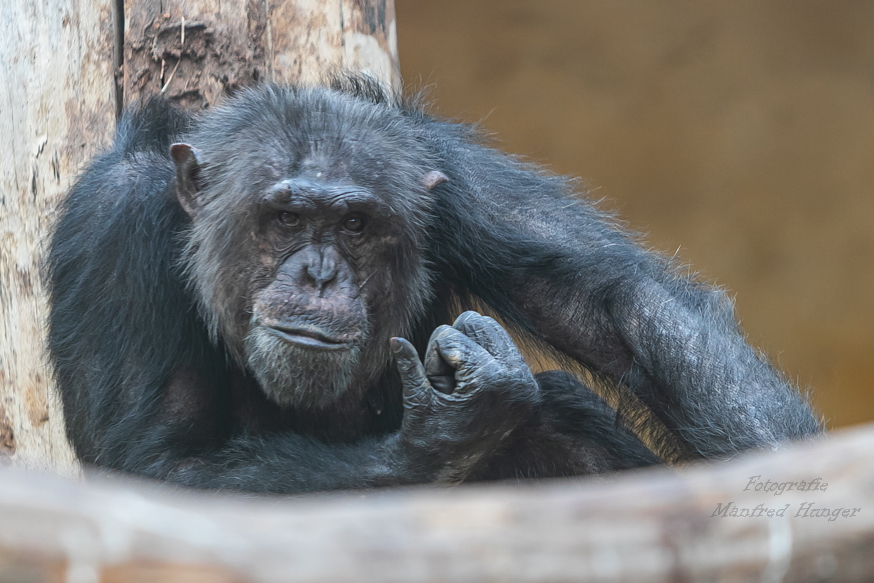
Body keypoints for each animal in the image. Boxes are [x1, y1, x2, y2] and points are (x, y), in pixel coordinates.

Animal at [47, 75, 816, 490]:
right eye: (286, 217)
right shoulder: (113, 227)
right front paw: (450, 432)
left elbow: (611, 302)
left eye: (356, 223)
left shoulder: (449, 175)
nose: (319, 273)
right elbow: (156, 469)